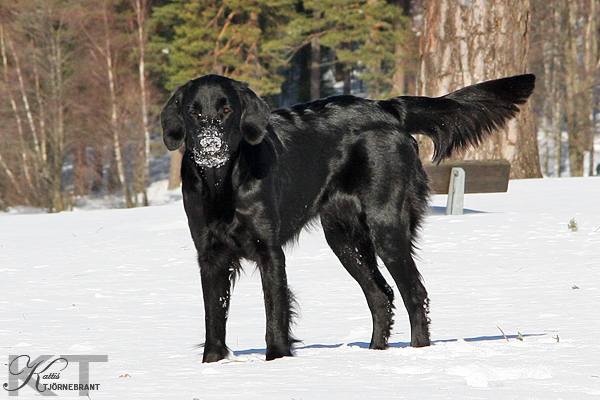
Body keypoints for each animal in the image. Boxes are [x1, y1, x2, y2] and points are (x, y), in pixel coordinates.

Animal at [159, 72, 536, 362]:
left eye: (226, 110)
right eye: (193, 113)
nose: (209, 146)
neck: (222, 184)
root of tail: (386, 107)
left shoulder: (270, 251)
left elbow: (275, 312)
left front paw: (278, 361)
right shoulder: (210, 255)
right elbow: (213, 317)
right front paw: (212, 365)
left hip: (386, 227)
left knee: (415, 294)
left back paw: (417, 353)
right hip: (344, 237)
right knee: (381, 296)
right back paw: (374, 355)